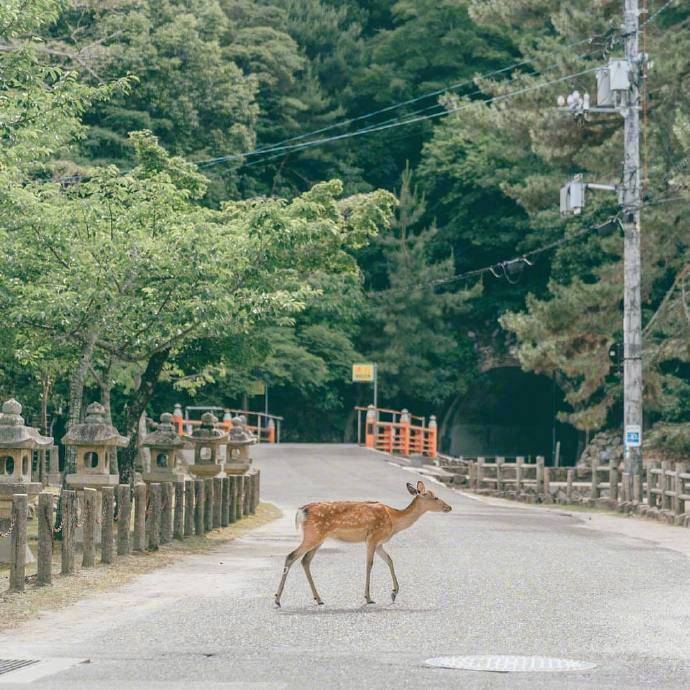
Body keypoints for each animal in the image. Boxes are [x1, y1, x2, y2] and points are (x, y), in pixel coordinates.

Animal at [274, 476, 452, 604]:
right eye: (435, 497)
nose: (449, 507)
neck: (394, 520)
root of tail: (301, 511)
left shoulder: (379, 543)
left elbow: (390, 560)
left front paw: (394, 593)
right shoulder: (373, 537)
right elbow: (369, 564)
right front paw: (369, 597)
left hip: (319, 538)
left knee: (305, 561)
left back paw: (318, 599)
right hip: (313, 534)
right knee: (291, 556)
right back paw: (277, 599)